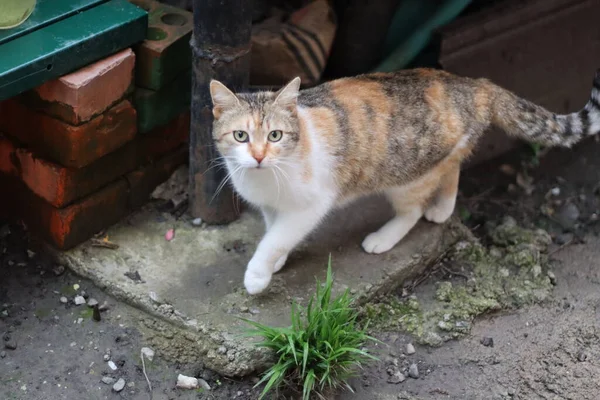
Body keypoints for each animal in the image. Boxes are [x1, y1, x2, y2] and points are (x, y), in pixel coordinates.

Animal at [207, 68, 600, 294]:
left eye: (275, 135)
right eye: (241, 136)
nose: (259, 156)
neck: (266, 179)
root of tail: (474, 84)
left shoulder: (310, 205)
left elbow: (275, 239)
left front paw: (258, 275)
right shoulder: (271, 208)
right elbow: (273, 233)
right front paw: (276, 262)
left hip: (405, 176)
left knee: (412, 209)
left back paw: (385, 237)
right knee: (452, 167)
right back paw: (442, 208)